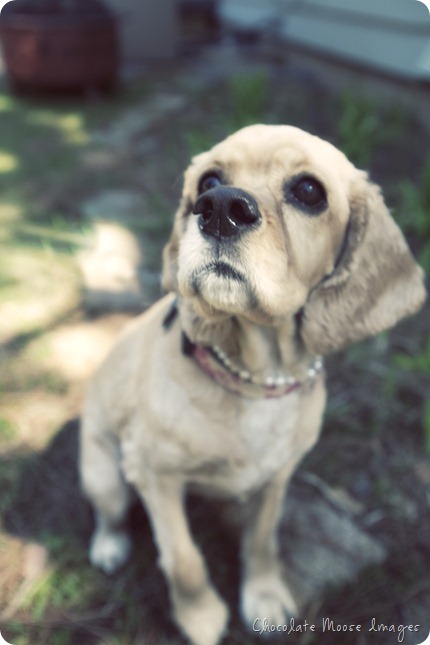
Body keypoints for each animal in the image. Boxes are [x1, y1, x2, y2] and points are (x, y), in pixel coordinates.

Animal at [80, 123, 426, 640]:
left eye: (309, 190)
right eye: (207, 182)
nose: (220, 208)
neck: (257, 377)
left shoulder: (278, 477)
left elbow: (262, 540)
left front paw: (264, 600)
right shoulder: (154, 474)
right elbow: (183, 558)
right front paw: (201, 618)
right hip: (104, 473)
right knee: (110, 514)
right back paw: (108, 546)